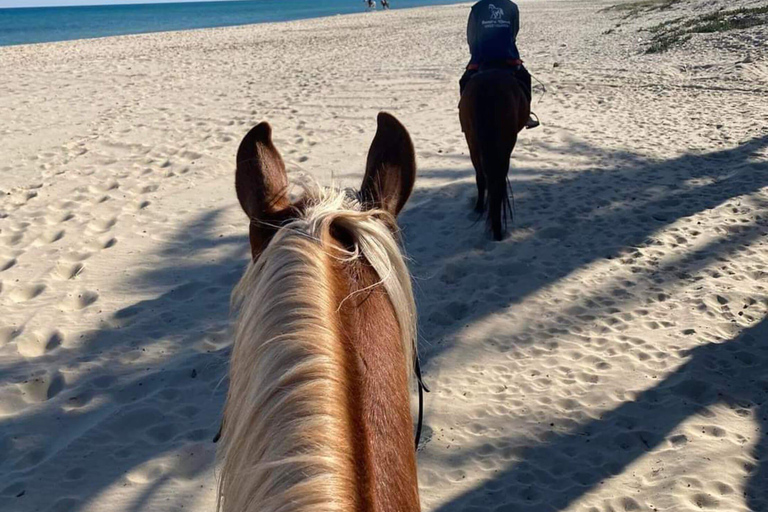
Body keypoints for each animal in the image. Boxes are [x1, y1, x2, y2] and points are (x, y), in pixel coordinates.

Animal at [460, 67, 532, 240]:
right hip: (506, 142)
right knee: (498, 179)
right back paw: (498, 229)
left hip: (473, 142)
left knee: (481, 176)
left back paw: (480, 207)